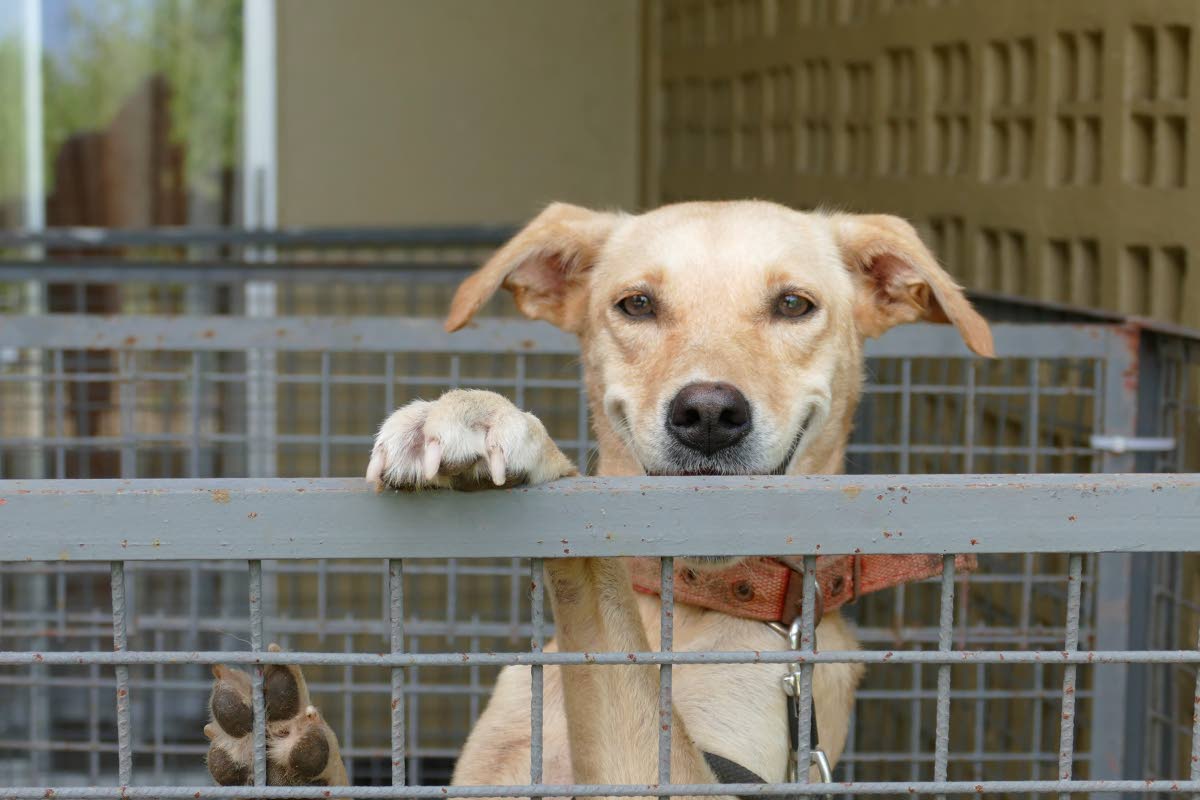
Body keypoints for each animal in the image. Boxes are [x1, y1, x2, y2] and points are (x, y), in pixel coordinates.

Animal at [204, 201, 993, 796]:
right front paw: (290, 753)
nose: (709, 414)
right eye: (636, 304)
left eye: (794, 304)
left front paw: (496, 424)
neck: (685, 613)